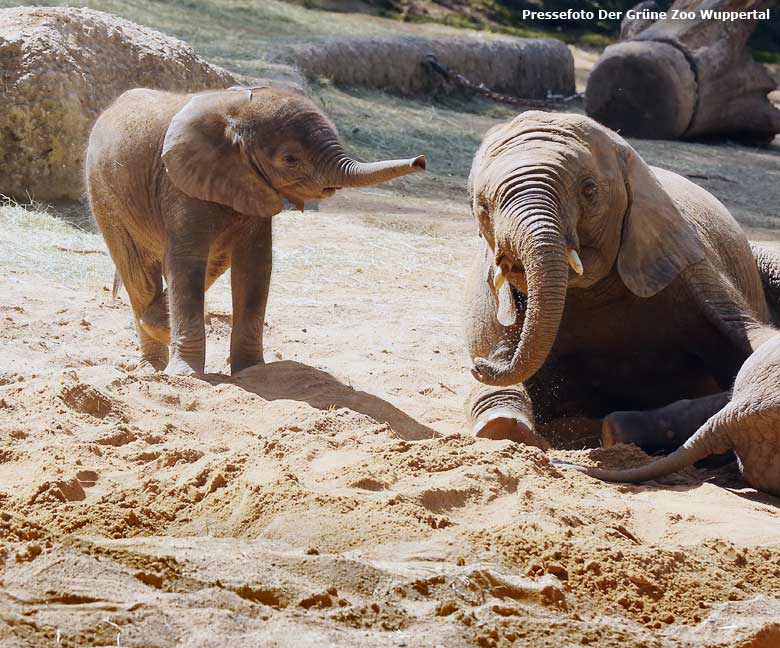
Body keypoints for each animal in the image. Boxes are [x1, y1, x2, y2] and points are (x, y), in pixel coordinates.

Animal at [90, 85, 426, 374]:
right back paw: (152, 364)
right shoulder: (179, 184)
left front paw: (251, 371)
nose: (420, 161)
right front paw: (186, 375)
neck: (235, 114)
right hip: (104, 195)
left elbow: (256, 265)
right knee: (138, 273)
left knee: (212, 261)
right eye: (290, 159)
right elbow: (187, 263)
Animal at [466, 110, 776, 466]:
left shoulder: (686, 261)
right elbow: (493, 361)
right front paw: (504, 426)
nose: (479, 366)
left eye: (589, 190)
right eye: (482, 207)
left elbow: (754, 336)